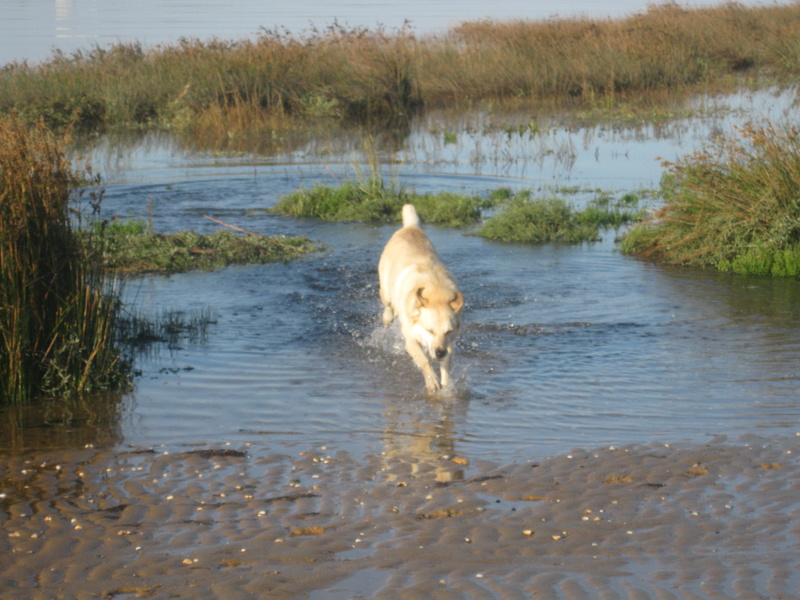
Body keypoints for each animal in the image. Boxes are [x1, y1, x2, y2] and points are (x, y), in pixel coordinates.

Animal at [380, 206, 466, 392]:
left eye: (448, 331)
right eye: (430, 330)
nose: (440, 353)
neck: (436, 291)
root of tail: (410, 227)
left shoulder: (449, 343)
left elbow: (446, 363)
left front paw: (447, 383)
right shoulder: (411, 339)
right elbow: (424, 360)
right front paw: (432, 381)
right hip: (386, 289)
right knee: (388, 304)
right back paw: (387, 318)